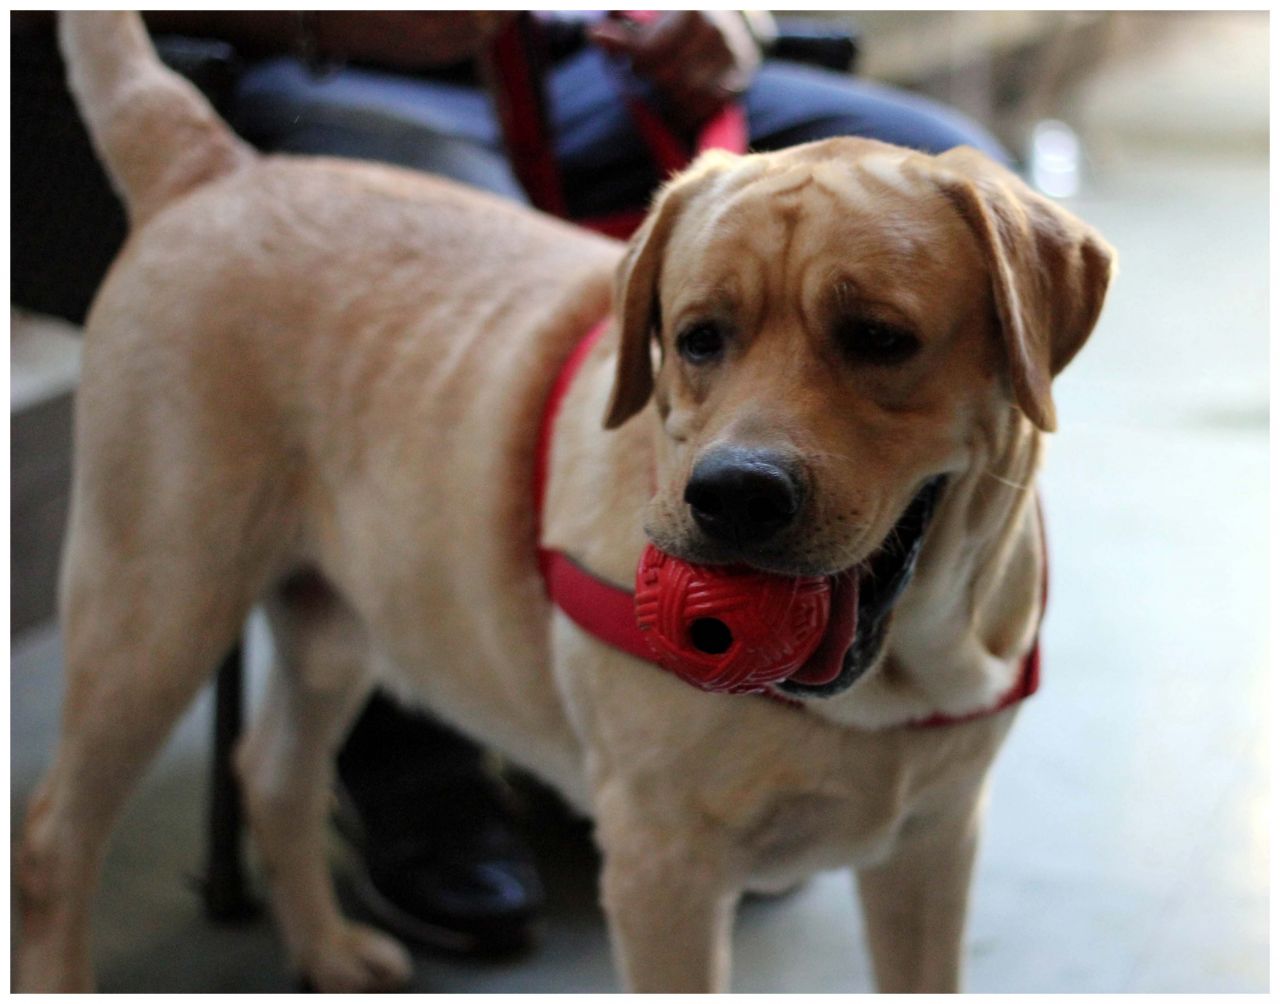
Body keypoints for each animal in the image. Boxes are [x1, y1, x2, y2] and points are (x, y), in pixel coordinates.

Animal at [17, 13, 1111, 993]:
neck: (894, 672)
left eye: (880, 338)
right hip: (155, 609)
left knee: (271, 770)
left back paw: (325, 948)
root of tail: (219, 165)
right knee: (52, 838)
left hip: (340, 620)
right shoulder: (663, 867)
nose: (733, 496)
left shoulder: (931, 846)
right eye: (697, 336)